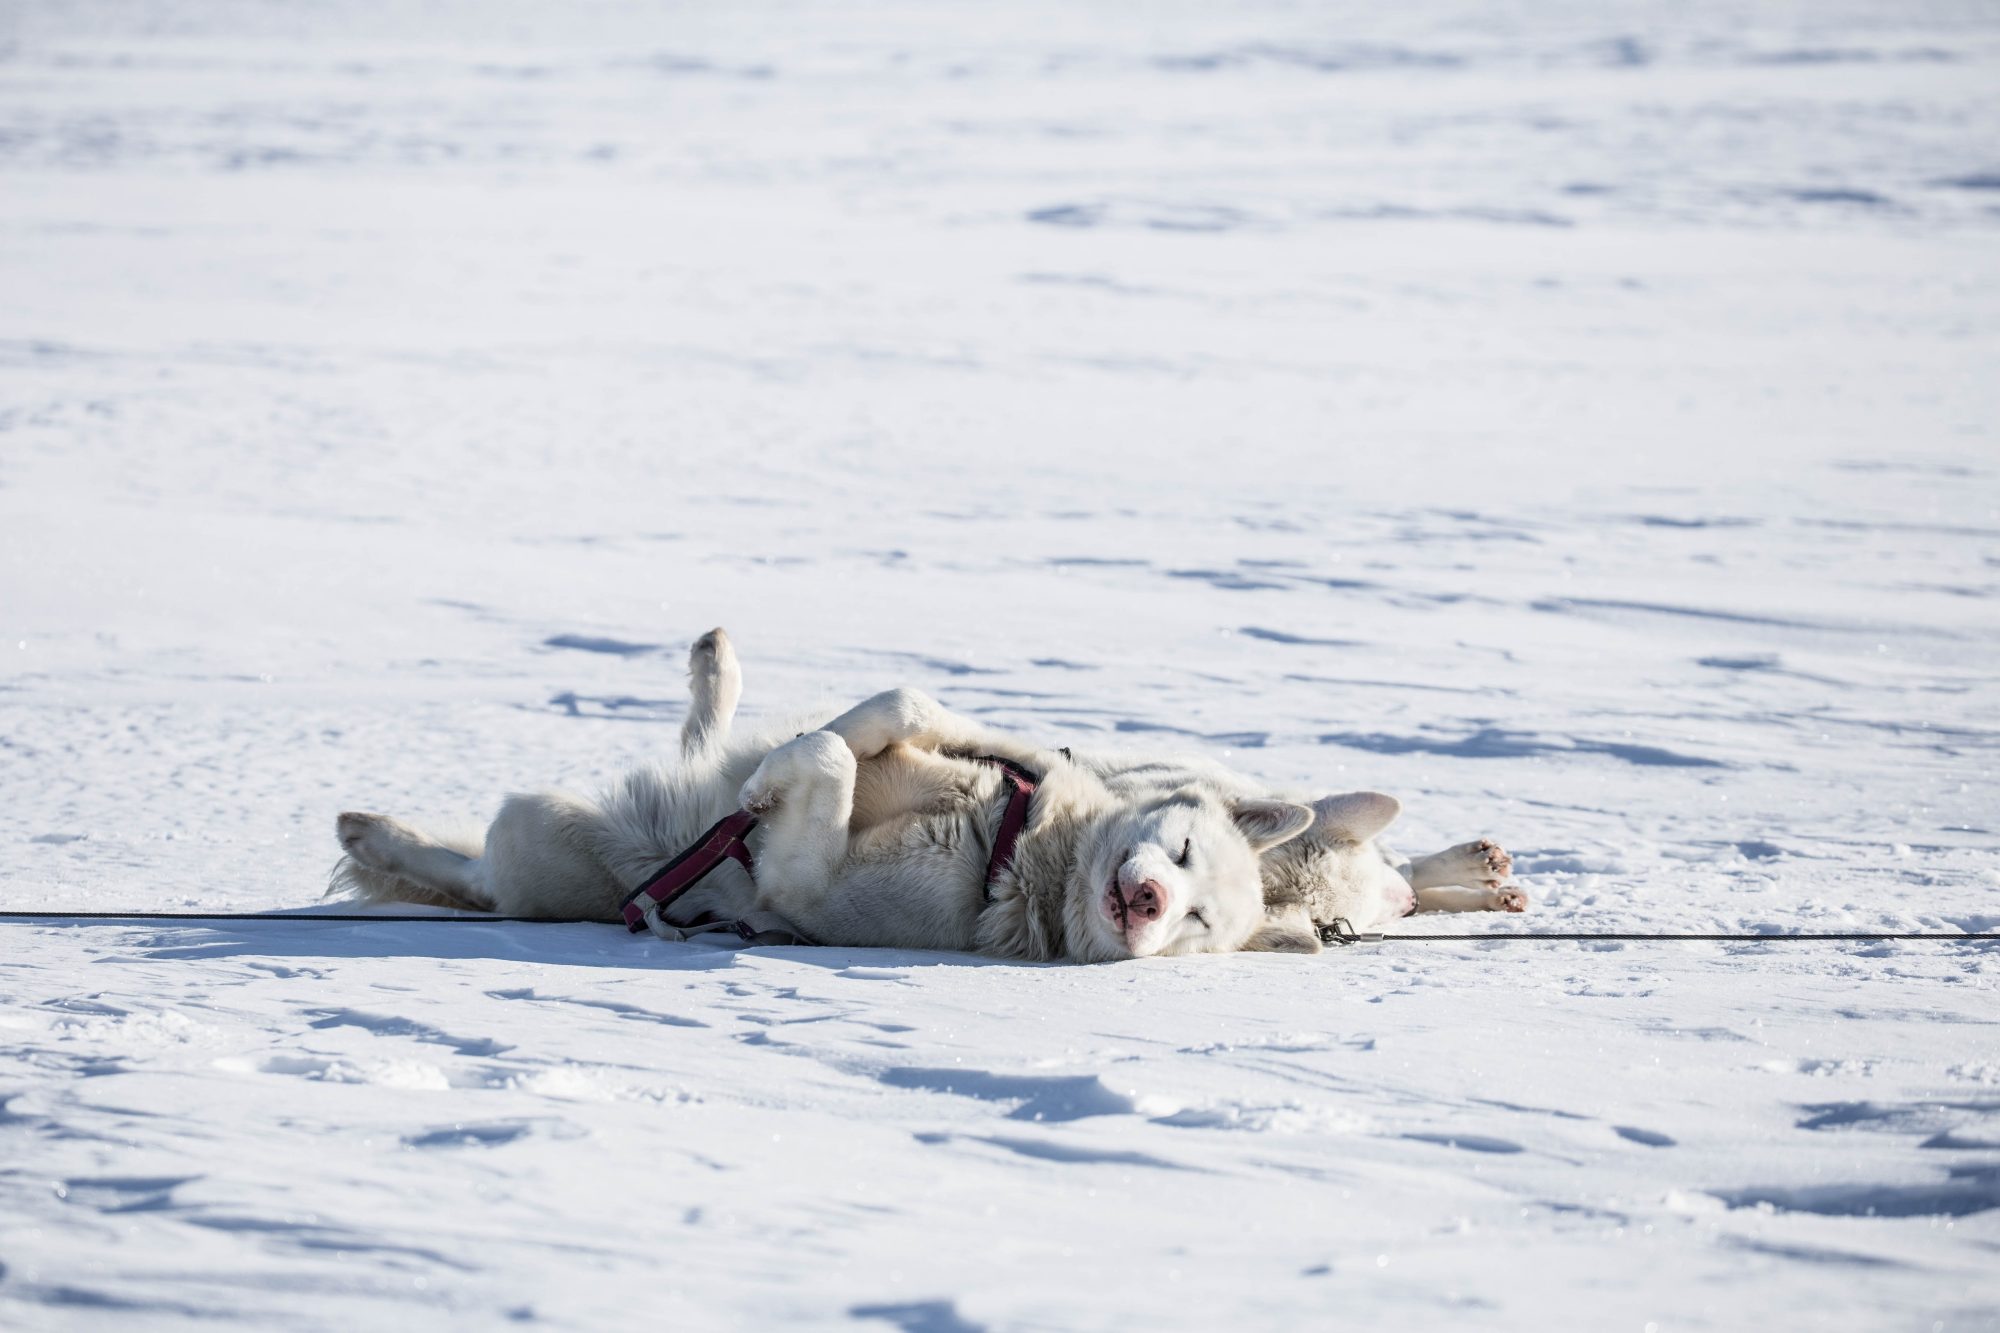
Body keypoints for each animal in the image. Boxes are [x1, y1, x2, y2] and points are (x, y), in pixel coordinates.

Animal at [330, 632, 1328, 956]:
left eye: (1198, 923)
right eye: (1187, 851)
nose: (1151, 901)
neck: (1009, 842)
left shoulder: (805, 889)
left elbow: (826, 772)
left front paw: (778, 780)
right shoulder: (992, 750)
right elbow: (893, 710)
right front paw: (807, 747)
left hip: (541, 833)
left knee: (476, 876)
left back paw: (372, 835)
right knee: (699, 744)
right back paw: (716, 674)